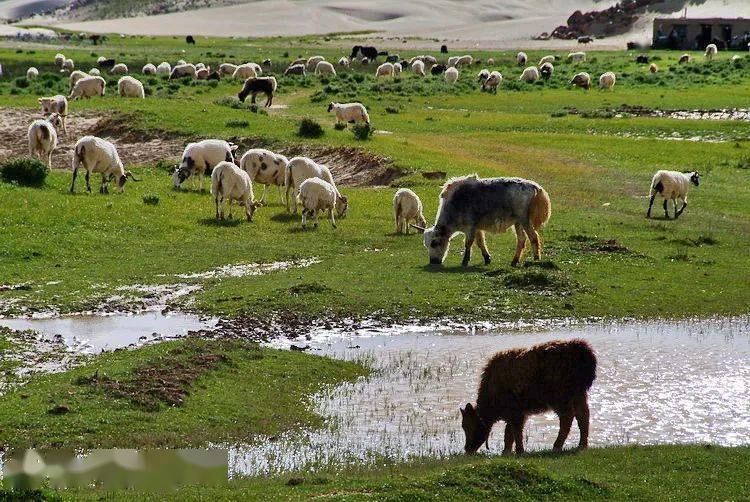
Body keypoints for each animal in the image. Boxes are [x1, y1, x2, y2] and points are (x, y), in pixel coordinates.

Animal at [418, 174, 552, 266]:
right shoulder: (477, 227)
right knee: (522, 240)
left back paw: (536, 260)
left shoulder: (470, 227)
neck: (455, 203)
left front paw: (465, 261)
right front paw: (487, 259)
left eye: (434, 243)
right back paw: (514, 261)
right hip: (518, 222)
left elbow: (468, 243)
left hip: (524, 220)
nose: (433, 261)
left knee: (533, 237)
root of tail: (535, 187)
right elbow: (480, 242)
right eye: (426, 245)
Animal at [462, 340, 596, 456]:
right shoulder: (514, 414)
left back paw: (556, 447)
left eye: (469, 425)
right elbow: (509, 433)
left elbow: (516, 432)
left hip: (560, 399)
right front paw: (506, 452)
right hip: (578, 395)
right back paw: (582, 445)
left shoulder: (517, 413)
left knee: (567, 418)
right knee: (583, 415)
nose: (467, 449)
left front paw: (519, 451)